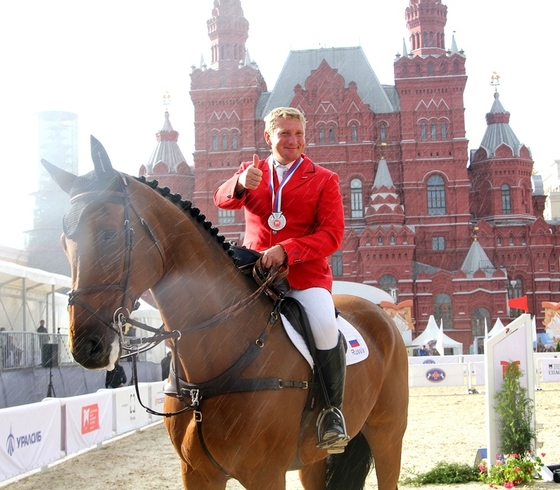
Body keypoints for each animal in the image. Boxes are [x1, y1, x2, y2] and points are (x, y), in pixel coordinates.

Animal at [42, 138, 406, 490]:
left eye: (108, 233)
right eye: (63, 243)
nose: (86, 346)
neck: (208, 371)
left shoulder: (266, 475)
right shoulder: (197, 473)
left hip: (387, 436)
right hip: (313, 460)